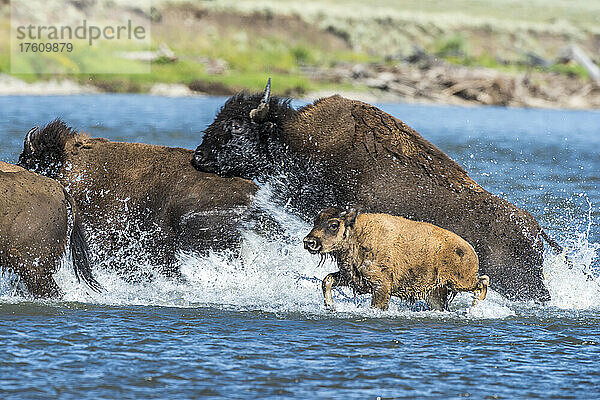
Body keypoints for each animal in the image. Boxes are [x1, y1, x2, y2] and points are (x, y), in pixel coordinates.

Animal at [302, 208, 490, 310]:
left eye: (334, 224)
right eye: (316, 221)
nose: (309, 242)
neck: (357, 234)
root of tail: (471, 251)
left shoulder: (381, 285)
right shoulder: (351, 278)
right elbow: (327, 280)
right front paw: (330, 306)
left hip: (460, 282)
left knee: (482, 282)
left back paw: (472, 310)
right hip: (436, 292)